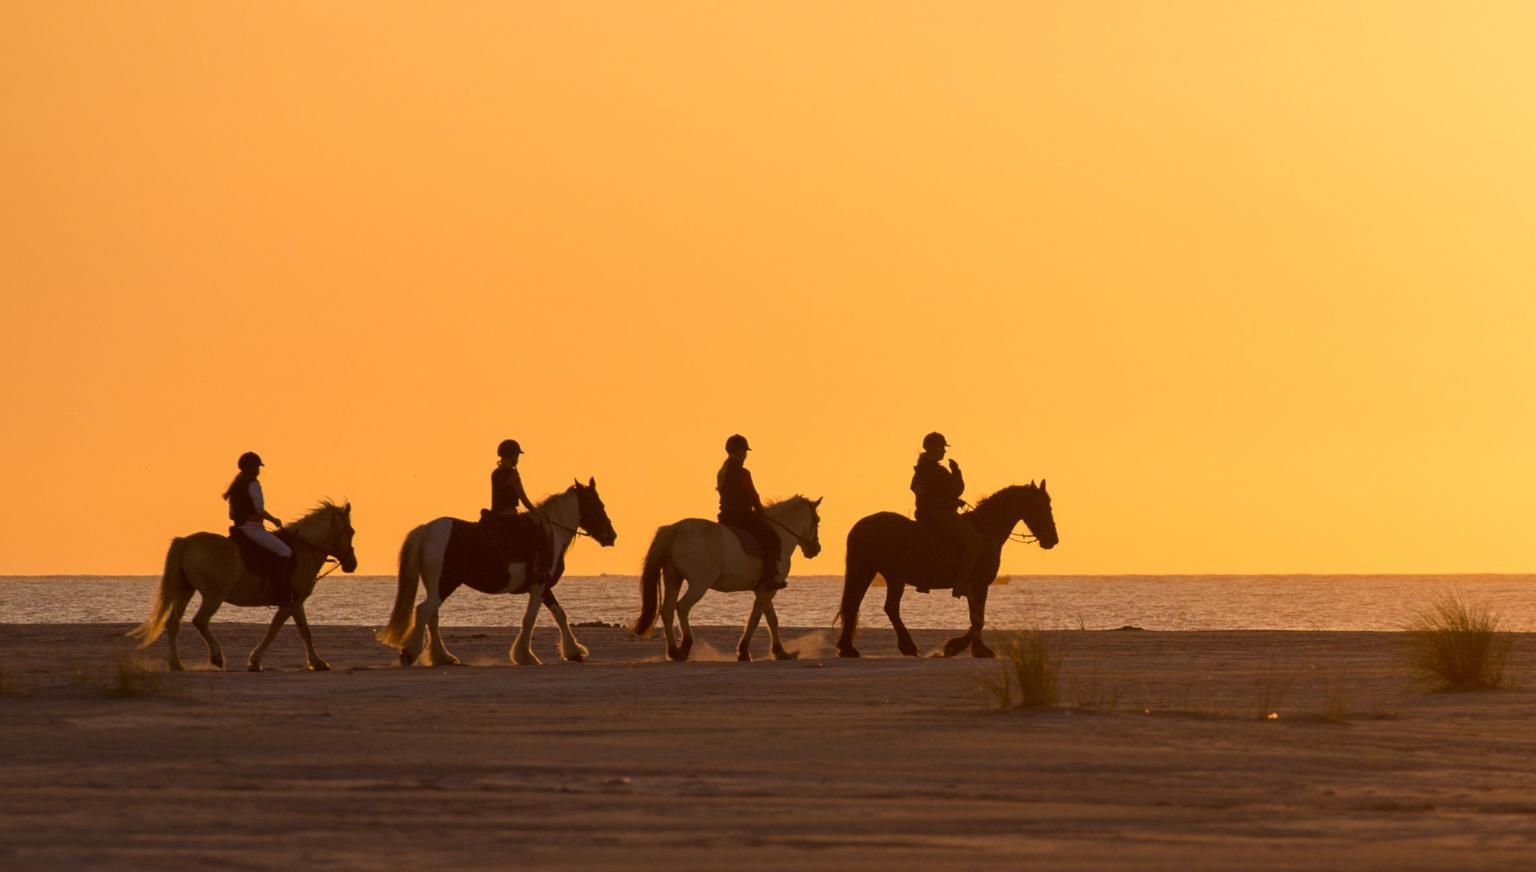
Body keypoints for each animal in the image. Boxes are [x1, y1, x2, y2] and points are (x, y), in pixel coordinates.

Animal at [129, 500, 359, 672]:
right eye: (351, 531)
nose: (352, 564)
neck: (304, 548)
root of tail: (187, 542)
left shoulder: (294, 602)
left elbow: (301, 630)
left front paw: (316, 662)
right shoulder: (293, 602)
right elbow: (281, 630)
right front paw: (256, 661)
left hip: (185, 590)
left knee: (173, 623)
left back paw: (176, 664)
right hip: (213, 595)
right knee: (200, 620)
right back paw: (216, 658)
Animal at [377, 475, 617, 666]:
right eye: (599, 505)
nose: (611, 536)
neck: (551, 533)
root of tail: (427, 529)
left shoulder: (544, 588)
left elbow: (560, 615)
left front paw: (573, 652)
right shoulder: (539, 586)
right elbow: (530, 619)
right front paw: (525, 656)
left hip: (436, 585)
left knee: (431, 616)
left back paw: (443, 657)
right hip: (445, 583)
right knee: (424, 611)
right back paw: (410, 654)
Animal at [629, 497, 823, 660]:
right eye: (817, 520)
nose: (816, 549)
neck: (779, 535)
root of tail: (676, 528)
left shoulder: (764, 589)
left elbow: (770, 619)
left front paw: (780, 652)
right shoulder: (768, 590)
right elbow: (756, 619)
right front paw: (744, 652)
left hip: (673, 578)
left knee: (667, 610)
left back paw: (673, 652)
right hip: (699, 584)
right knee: (682, 607)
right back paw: (685, 647)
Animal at [841, 478, 1056, 657]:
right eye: (1042, 506)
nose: (1053, 539)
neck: (986, 530)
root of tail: (861, 526)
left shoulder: (976, 586)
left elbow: (977, 617)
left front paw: (976, 648)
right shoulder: (979, 583)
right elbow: (978, 619)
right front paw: (958, 647)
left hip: (873, 572)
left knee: (857, 604)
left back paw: (848, 648)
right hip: (889, 575)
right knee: (885, 607)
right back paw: (905, 646)